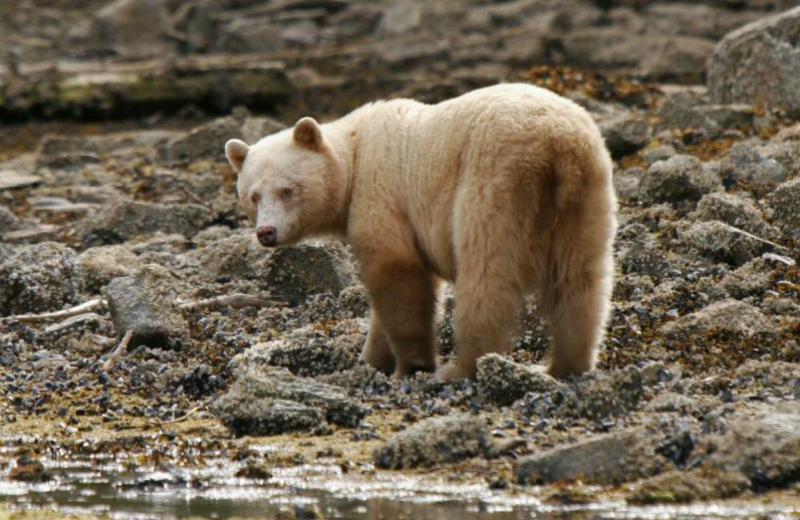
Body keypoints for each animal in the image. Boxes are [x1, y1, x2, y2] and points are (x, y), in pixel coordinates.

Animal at [225, 83, 620, 380]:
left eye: (287, 190)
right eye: (252, 196)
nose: (266, 232)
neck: (354, 154)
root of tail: (556, 143)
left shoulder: (380, 191)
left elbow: (397, 271)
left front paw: (411, 364)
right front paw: (371, 358)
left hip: (494, 180)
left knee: (486, 275)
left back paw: (463, 367)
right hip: (587, 193)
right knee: (582, 279)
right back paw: (565, 364)